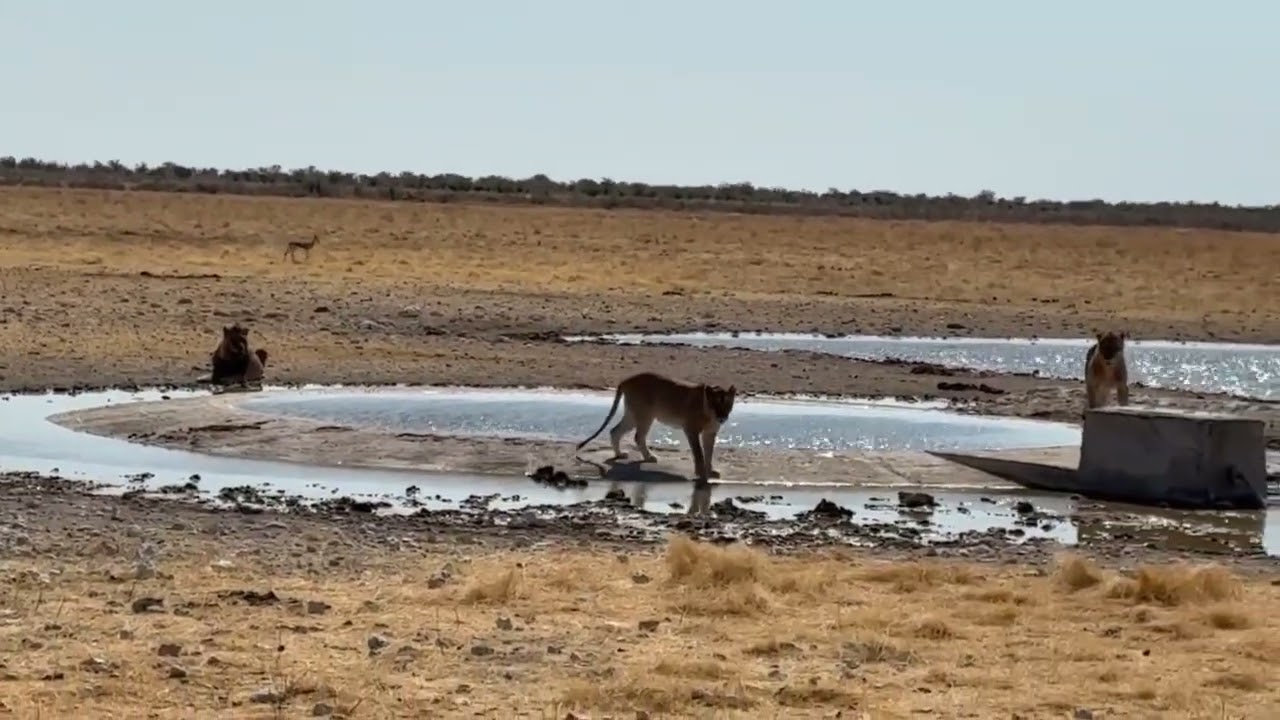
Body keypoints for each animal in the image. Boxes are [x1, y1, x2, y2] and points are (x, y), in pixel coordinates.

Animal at [575, 371, 738, 481]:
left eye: (727, 405)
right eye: (715, 405)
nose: (722, 417)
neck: (709, 413)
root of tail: (627, 379)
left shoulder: (710, 433)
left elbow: (709, 452)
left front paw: (711, 471)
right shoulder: (691, 430)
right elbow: (699, 453)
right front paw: (702, 473)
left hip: (633, 415)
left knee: (615, 430)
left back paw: (620, 454)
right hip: (645, 415)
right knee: (638, 436)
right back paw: (648, 457)